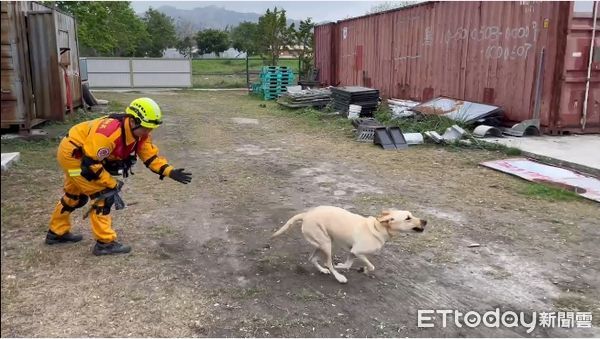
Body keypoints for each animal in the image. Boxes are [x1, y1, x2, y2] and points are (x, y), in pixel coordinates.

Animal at [272, 207, 426, 284]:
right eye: (408, 218)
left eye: (411, 215)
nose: (425, 221)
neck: (377, 228)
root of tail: (306, 215)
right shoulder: (358, 252)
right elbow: (371, 266)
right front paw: (364, 269)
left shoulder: (352, 252)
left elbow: (348, 264)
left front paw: (349, 267)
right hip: (327, 244)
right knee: (328, 262)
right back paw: (338, 277)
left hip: (327, 243)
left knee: (313, 259)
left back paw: (323, 270)